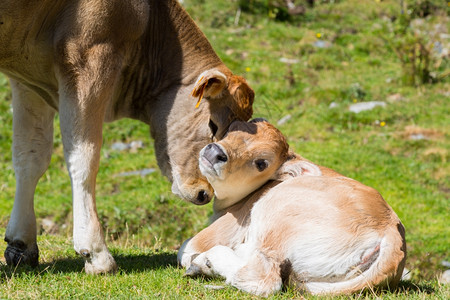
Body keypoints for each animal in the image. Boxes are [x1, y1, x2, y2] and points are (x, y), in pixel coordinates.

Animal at [0, 0, 253, 274]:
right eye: (212, 125)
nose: (204, 194)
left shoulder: (28, 82)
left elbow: (30, 157)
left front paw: (21, 244)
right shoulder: (89, 58)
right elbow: (83, 158)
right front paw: (95, 252)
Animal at [178, 119, 406, 296]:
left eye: (261, 163)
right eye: (231, 129)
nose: (215, 152)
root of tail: (390, 229)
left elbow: (185, 249)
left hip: (277, 215)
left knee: (263, 278)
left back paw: (206, 262)